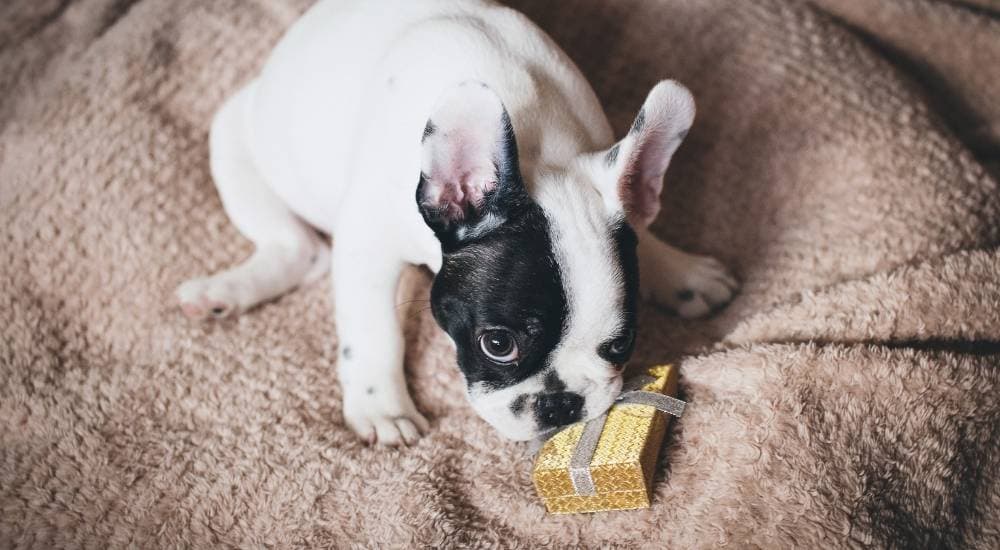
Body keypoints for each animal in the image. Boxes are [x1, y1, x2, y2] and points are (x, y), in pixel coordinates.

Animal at [178, 0, 736, 448]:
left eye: (622, 344)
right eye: (498, 344)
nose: (562, 404)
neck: (541, 151)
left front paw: (680, 271)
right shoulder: (368, 245)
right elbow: (373, 330)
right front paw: (382, 407)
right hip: (233, 133)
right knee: (300, 249)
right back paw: (222, 293)